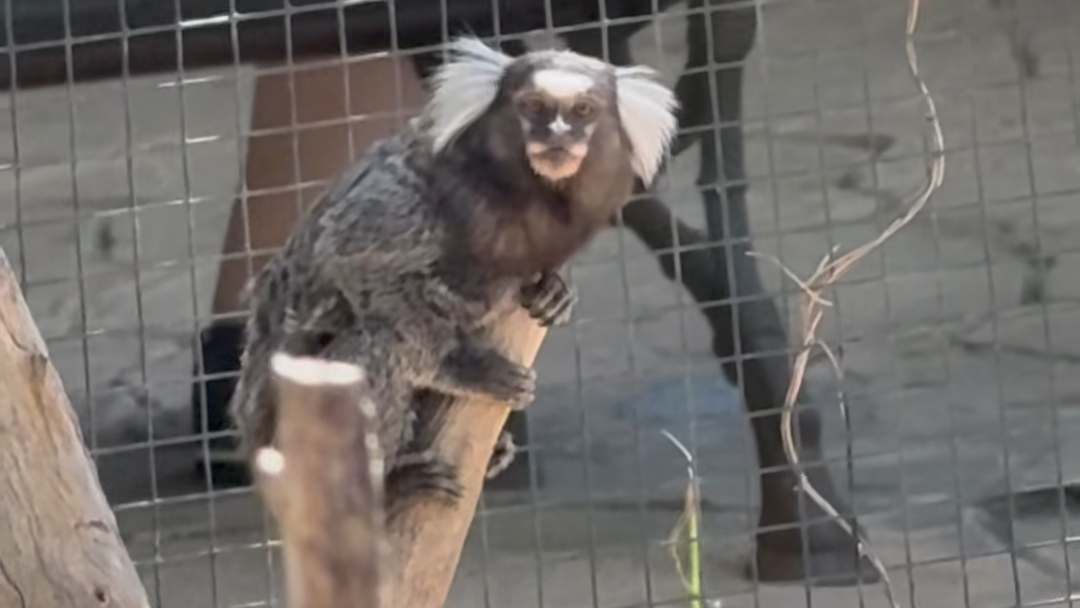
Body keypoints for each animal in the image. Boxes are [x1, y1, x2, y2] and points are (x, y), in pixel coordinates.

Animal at [229, 37, 678, 517]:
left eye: (582, 111)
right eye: (534, 106)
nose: (557, 134)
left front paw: (554, 293)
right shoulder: (415, 201)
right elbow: (350, 262)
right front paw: (462, 366)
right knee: (376, 346)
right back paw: (388, 484)